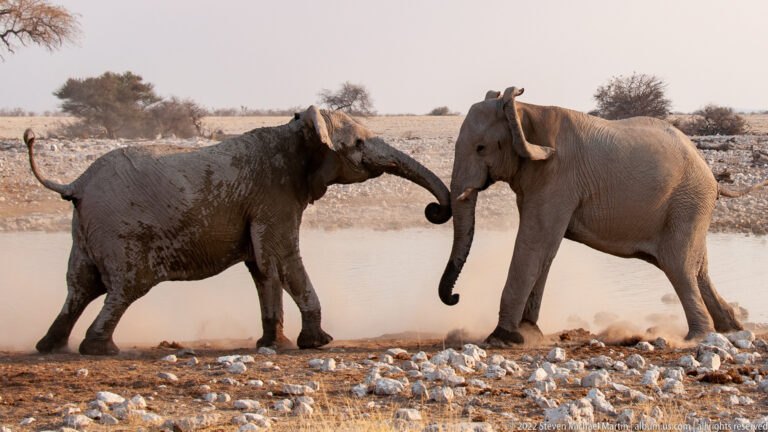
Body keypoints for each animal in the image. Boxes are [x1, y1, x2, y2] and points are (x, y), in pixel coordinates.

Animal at [26, 106, 451, 355]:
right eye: (359, 142)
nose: (435, 210)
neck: (294, 131)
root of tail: (76, 184)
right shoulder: (274, 195)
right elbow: (282, 259)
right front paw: (315, 344)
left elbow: (263, 268)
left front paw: (274, 344)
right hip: (120, 230)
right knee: (124, 287)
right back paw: (99, 350)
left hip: (85, 231)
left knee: (80, 287)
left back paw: (50, 347)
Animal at [437, 86, 768, 345]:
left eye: (481, 148)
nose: (455, 298)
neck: (525, 109)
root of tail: (713, 177)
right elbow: (545, 249)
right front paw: (529, 332)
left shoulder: (558, 176)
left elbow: (534, 244)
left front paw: (502, 338)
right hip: (691, 208)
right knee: (698, 269)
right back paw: (730, 328)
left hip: (687, 204)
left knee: (679, 266)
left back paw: (695, 338)